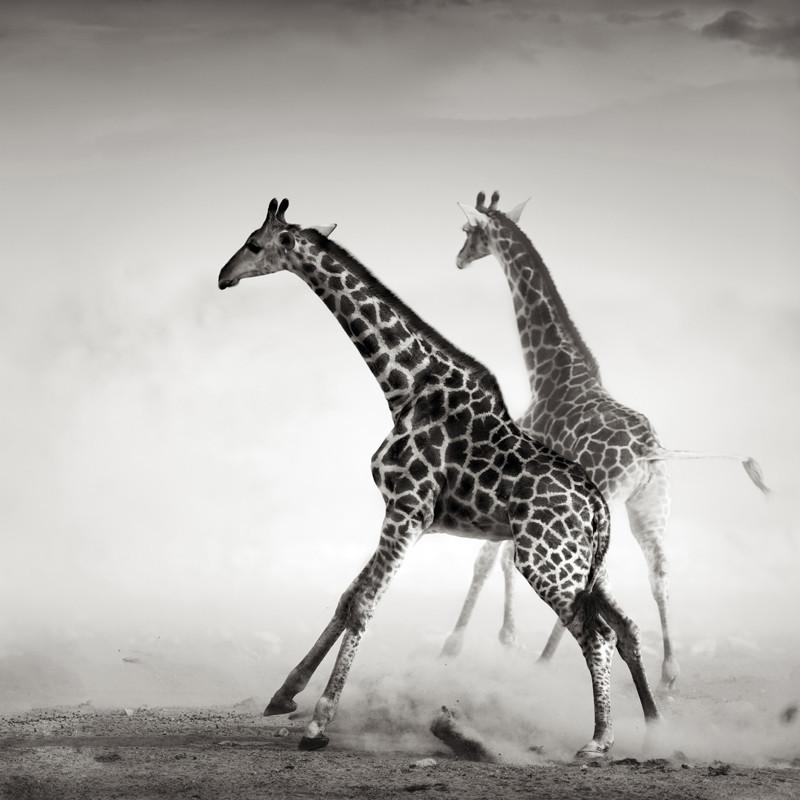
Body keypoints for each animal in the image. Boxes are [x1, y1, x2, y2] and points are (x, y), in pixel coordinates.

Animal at [218, 197, 661, 757]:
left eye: (254, 244)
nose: (223, 277)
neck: (405, 386)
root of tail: (598, 507)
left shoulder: (407, 508)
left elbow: (362, 606)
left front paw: (318, 724)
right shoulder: (403, 513)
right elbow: (345, 599)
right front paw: (283, 695)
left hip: (545, 561)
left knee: (596, 634)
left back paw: (599, 740)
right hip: (587, 566)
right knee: (626, 627)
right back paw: (657, 729)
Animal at [443, 190, 769, 688]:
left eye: (467, 231)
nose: (459, 260)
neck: (549, 373)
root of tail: (651, 451)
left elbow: (486, 559)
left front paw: (457, 644)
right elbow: (503, 559)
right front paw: (504, 637)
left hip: (610, 502)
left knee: (594, 577)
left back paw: (547, 661)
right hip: (650, 507)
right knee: (660, 574)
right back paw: (668, 674)